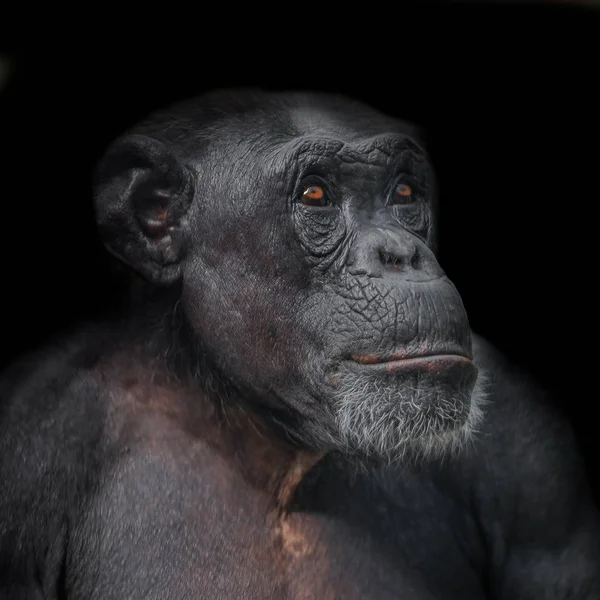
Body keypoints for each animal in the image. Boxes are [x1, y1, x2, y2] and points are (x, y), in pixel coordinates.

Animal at [0, 90, 596, 600]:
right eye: (316, 195)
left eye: (403, 193)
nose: (402, 253)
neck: (273, 450)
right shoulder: (29, 447)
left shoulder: (536, 467)